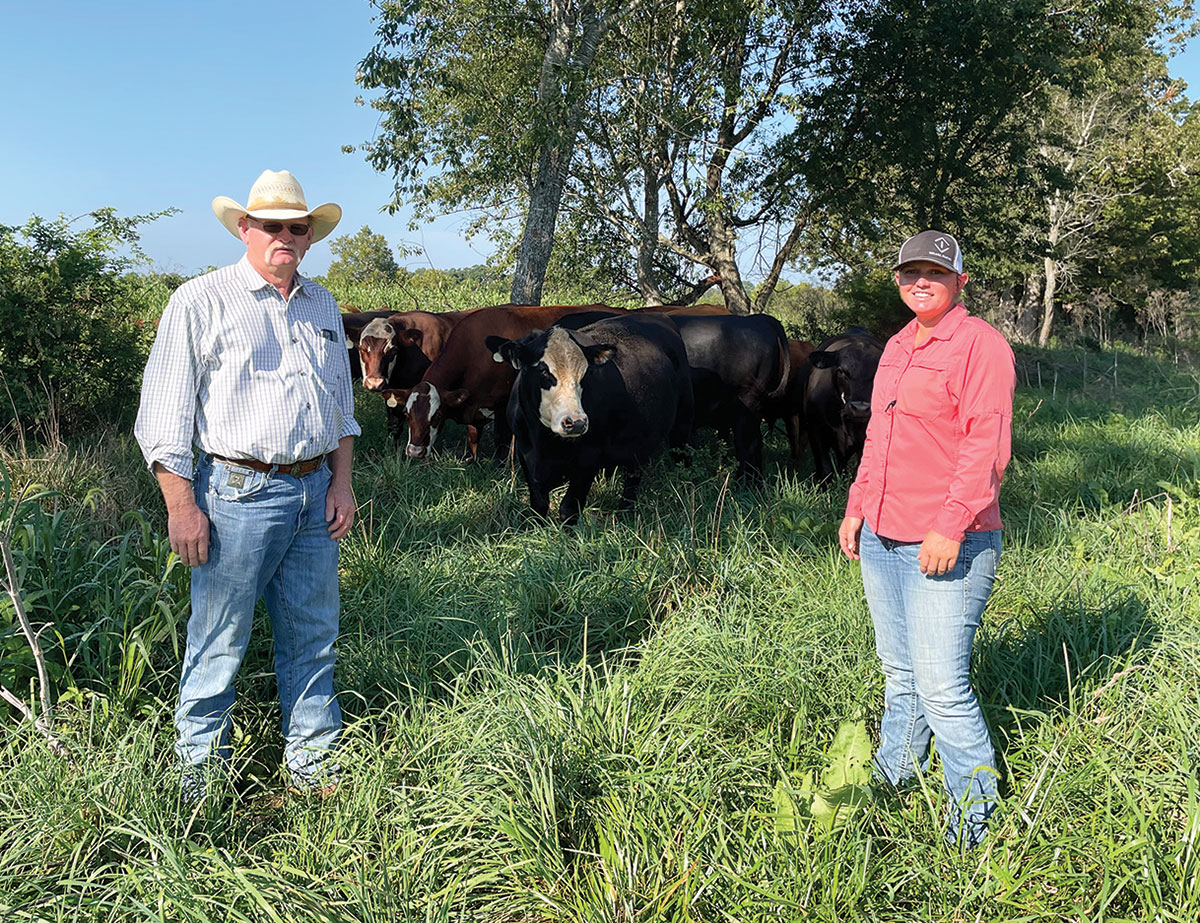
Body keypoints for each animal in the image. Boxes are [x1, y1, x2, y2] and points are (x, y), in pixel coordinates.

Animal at [487, 312, 696, 523]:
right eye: (543, 370)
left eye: (585, 373)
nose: (576, 423)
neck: (545, 442)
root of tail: (659, 316)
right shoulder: (526, 453)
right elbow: (539, 506)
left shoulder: (589, 457)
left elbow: (569, 508)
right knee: (634, 474)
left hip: (682, 423)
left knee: (678, 459)